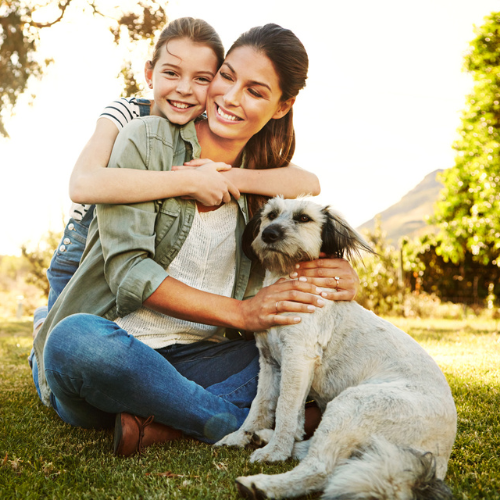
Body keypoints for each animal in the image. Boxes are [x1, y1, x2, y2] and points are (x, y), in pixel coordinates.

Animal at [215, 198, 458, 500]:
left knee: (321, 468)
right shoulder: (270, 363)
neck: (287, 280)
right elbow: (260, 407)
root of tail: (440, 458)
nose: (269, 234)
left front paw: (275, 452)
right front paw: (243, 436)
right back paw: (268, 439)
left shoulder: (298, 358)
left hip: (352, 404)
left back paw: (261, 485)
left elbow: (284, 408)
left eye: (303, 218)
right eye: (270, 215)